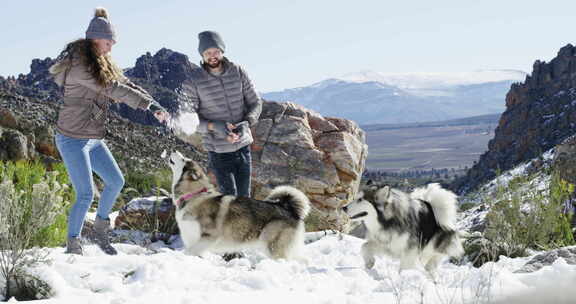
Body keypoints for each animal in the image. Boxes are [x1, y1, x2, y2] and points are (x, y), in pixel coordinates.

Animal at [168, 151, 310, 260]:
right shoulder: (192, 239)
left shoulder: (209, 236)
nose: (174, 150)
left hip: (273, 246)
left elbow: (188, 252)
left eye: (184, 159)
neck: (194, 195)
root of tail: (289, 209)